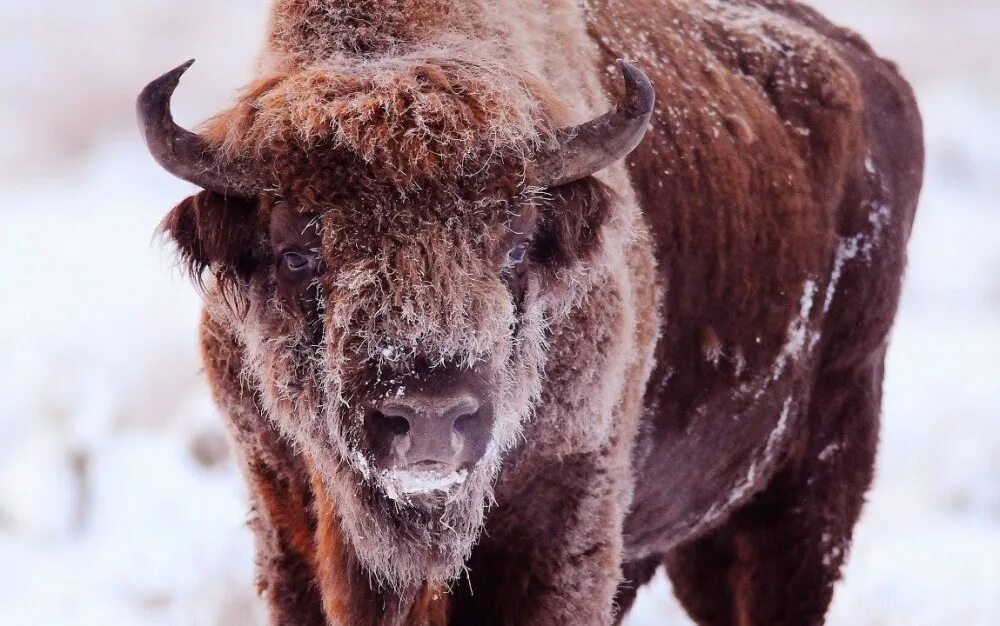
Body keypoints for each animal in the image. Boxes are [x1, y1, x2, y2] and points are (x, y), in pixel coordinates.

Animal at [139, 1, 920, 624]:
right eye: (298, 250)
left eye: (515, 243)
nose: (429, 419)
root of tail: (870, 72)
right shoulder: (283, 505)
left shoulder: (563, 511)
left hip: (814, 478)